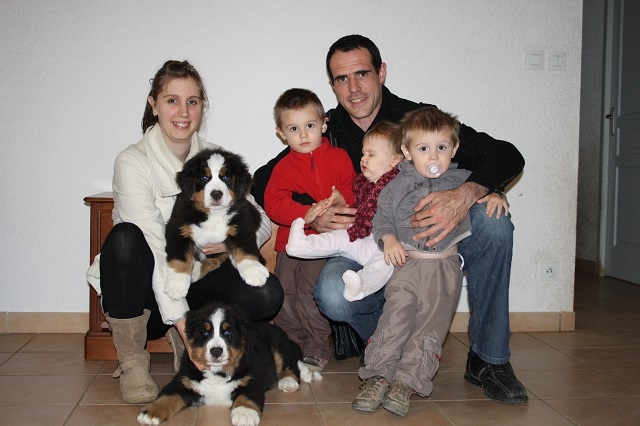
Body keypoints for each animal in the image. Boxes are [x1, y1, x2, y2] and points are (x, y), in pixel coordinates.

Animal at [137, 302, 319, 426]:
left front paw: (245, 414)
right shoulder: (184, 379)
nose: (216, 351)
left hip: (277, 345)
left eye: (227, 332)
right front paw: (150, 412)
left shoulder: (252, 380)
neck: (218, 371)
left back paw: (290, 380)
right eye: (205, 333)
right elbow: (168, 395)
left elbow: (247, 395)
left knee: (290, 362)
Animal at [164, 148, 270, 300]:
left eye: (226, 178)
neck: (213, 214)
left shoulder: (243, 224)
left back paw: (196, 270)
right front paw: (176, 285)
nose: (216, 194)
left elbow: (245, 248)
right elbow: (180, 258)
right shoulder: (177, 227)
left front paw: (253, 271)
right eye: (203, 178)